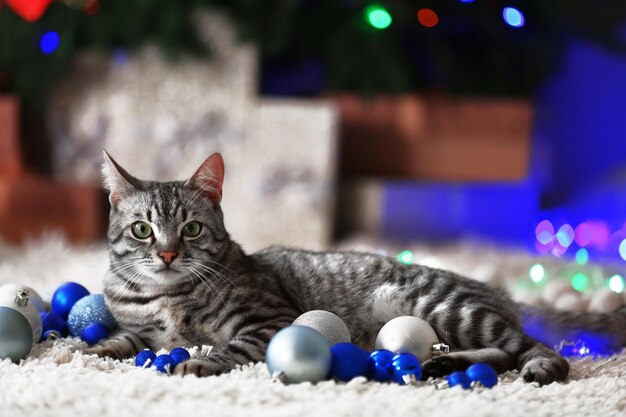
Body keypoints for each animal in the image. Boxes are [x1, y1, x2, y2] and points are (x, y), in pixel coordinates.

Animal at [91, 152, 624, 384]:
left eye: (192, 229)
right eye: (142, 230)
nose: (167, 254)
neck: (163, 297)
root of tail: (501, 295)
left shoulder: (269, 319)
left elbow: (232, 345)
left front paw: (200, 360)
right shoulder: (140, 329)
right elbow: (122, 339)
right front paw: (86, 346)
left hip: (441, 305)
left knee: (528, 346)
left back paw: (541, 365)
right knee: (500, 351)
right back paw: (446, 363)